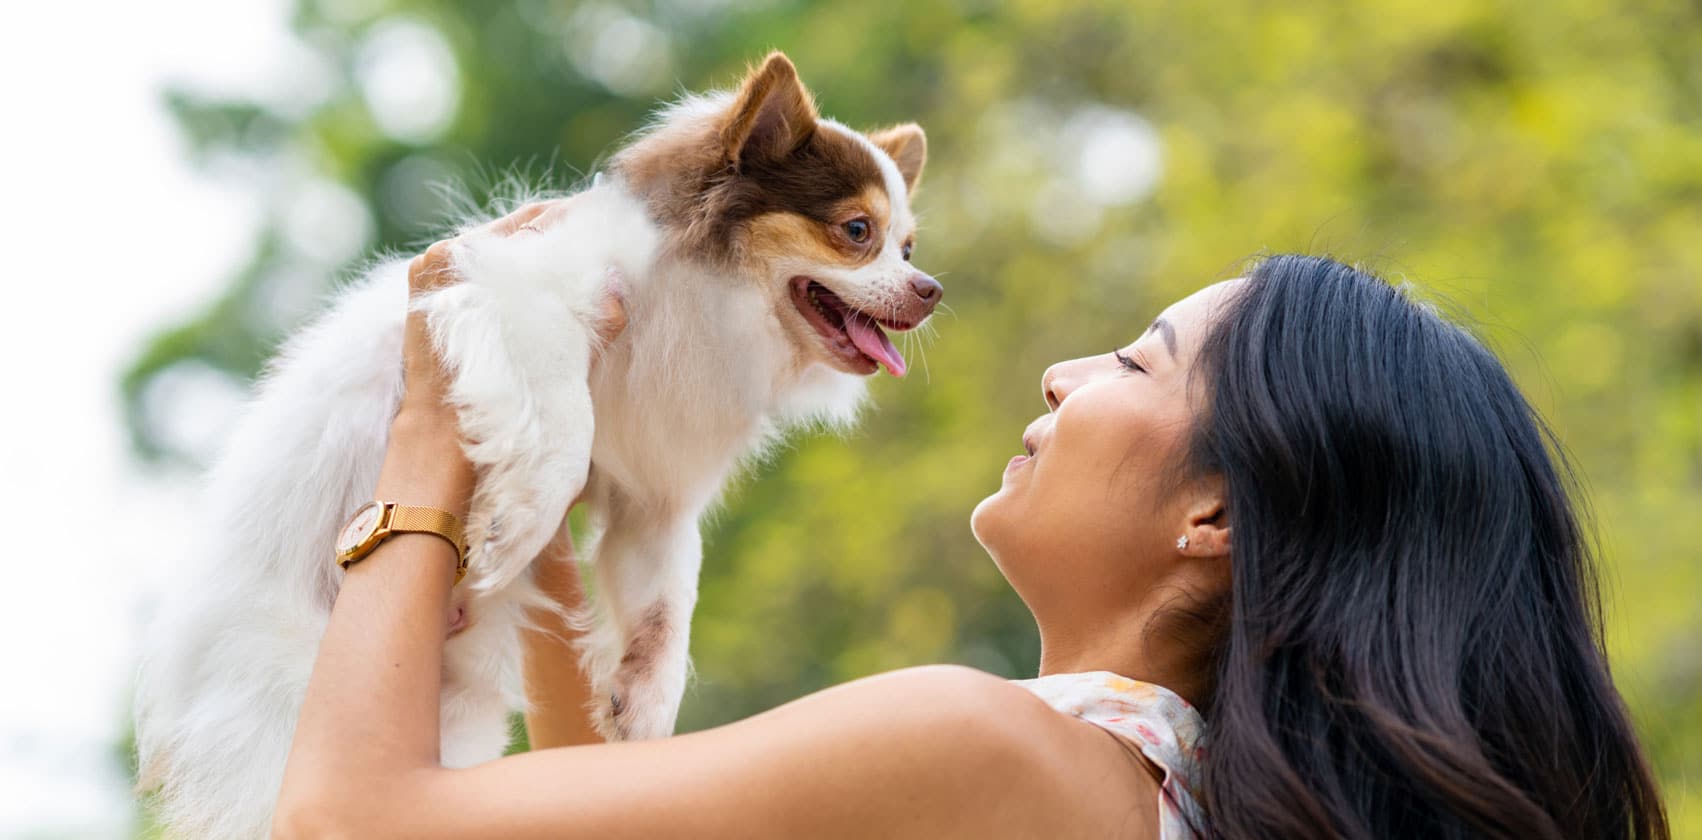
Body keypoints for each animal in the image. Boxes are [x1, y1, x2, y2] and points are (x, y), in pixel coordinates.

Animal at [134, 54, 939, 840]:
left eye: (908, 248)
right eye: (857, 232)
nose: (931, 288)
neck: (709, 303)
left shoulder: (655, 498)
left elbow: (670, 591)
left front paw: (646, 703)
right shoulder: (526, 300)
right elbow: (566, 420)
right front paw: (516, 525)